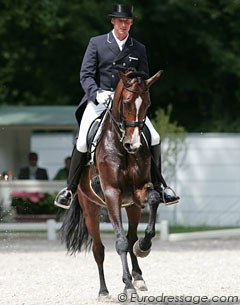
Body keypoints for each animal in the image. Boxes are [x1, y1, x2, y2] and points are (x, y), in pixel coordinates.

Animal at [61, 69, 163, 300]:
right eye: (126, 103)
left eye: (148, 104)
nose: (133, 144)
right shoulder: (111, 195)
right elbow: (120, 242)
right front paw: (127, 286)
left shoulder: (140, 190)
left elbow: (152, 200)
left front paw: (144, 248)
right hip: (90, 208)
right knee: (98, 249)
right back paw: (104, 291)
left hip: (132, 206)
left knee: (132, 235)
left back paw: (139, 277)